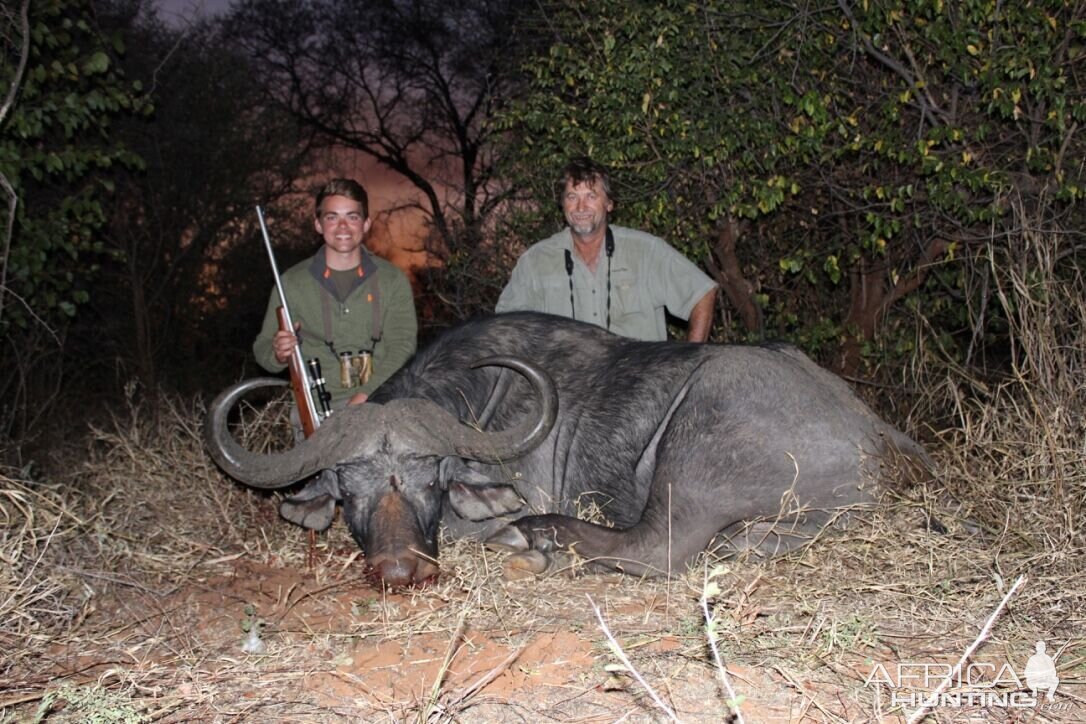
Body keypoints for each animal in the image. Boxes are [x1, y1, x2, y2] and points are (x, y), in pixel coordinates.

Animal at [207, 314, 929, 586]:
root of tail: (877, 434)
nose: (400, 571)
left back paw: (540, 538)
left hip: (692, 449)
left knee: (657, 548)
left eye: (430, 482)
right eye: (348, 494)